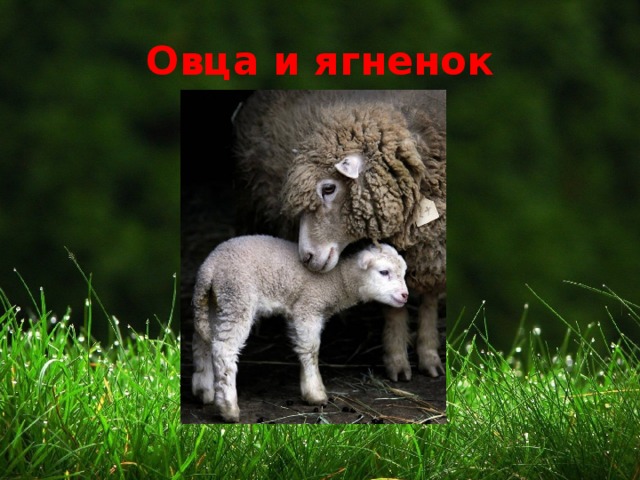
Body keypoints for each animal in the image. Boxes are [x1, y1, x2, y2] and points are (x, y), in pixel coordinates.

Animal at [191, 234, 409, 423]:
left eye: (404, 272)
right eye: (384, 272)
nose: (405, 295)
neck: (338, 281)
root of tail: (209, 268)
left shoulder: (298, 312)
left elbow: (302, 347)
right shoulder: (309, 307)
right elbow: (311, 350)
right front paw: (316, 394)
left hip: (216, 302)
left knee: (202, 341)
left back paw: (204, 390)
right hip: (237, 297)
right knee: (224, 350)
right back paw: (228, 409)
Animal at [233, 90, 446, 381]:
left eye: (328, 188)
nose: (306, 256)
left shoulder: (433, 246)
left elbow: (429, 300)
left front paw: (429, 355)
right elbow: (393, 303)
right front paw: (397, 361)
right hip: (251, 199)